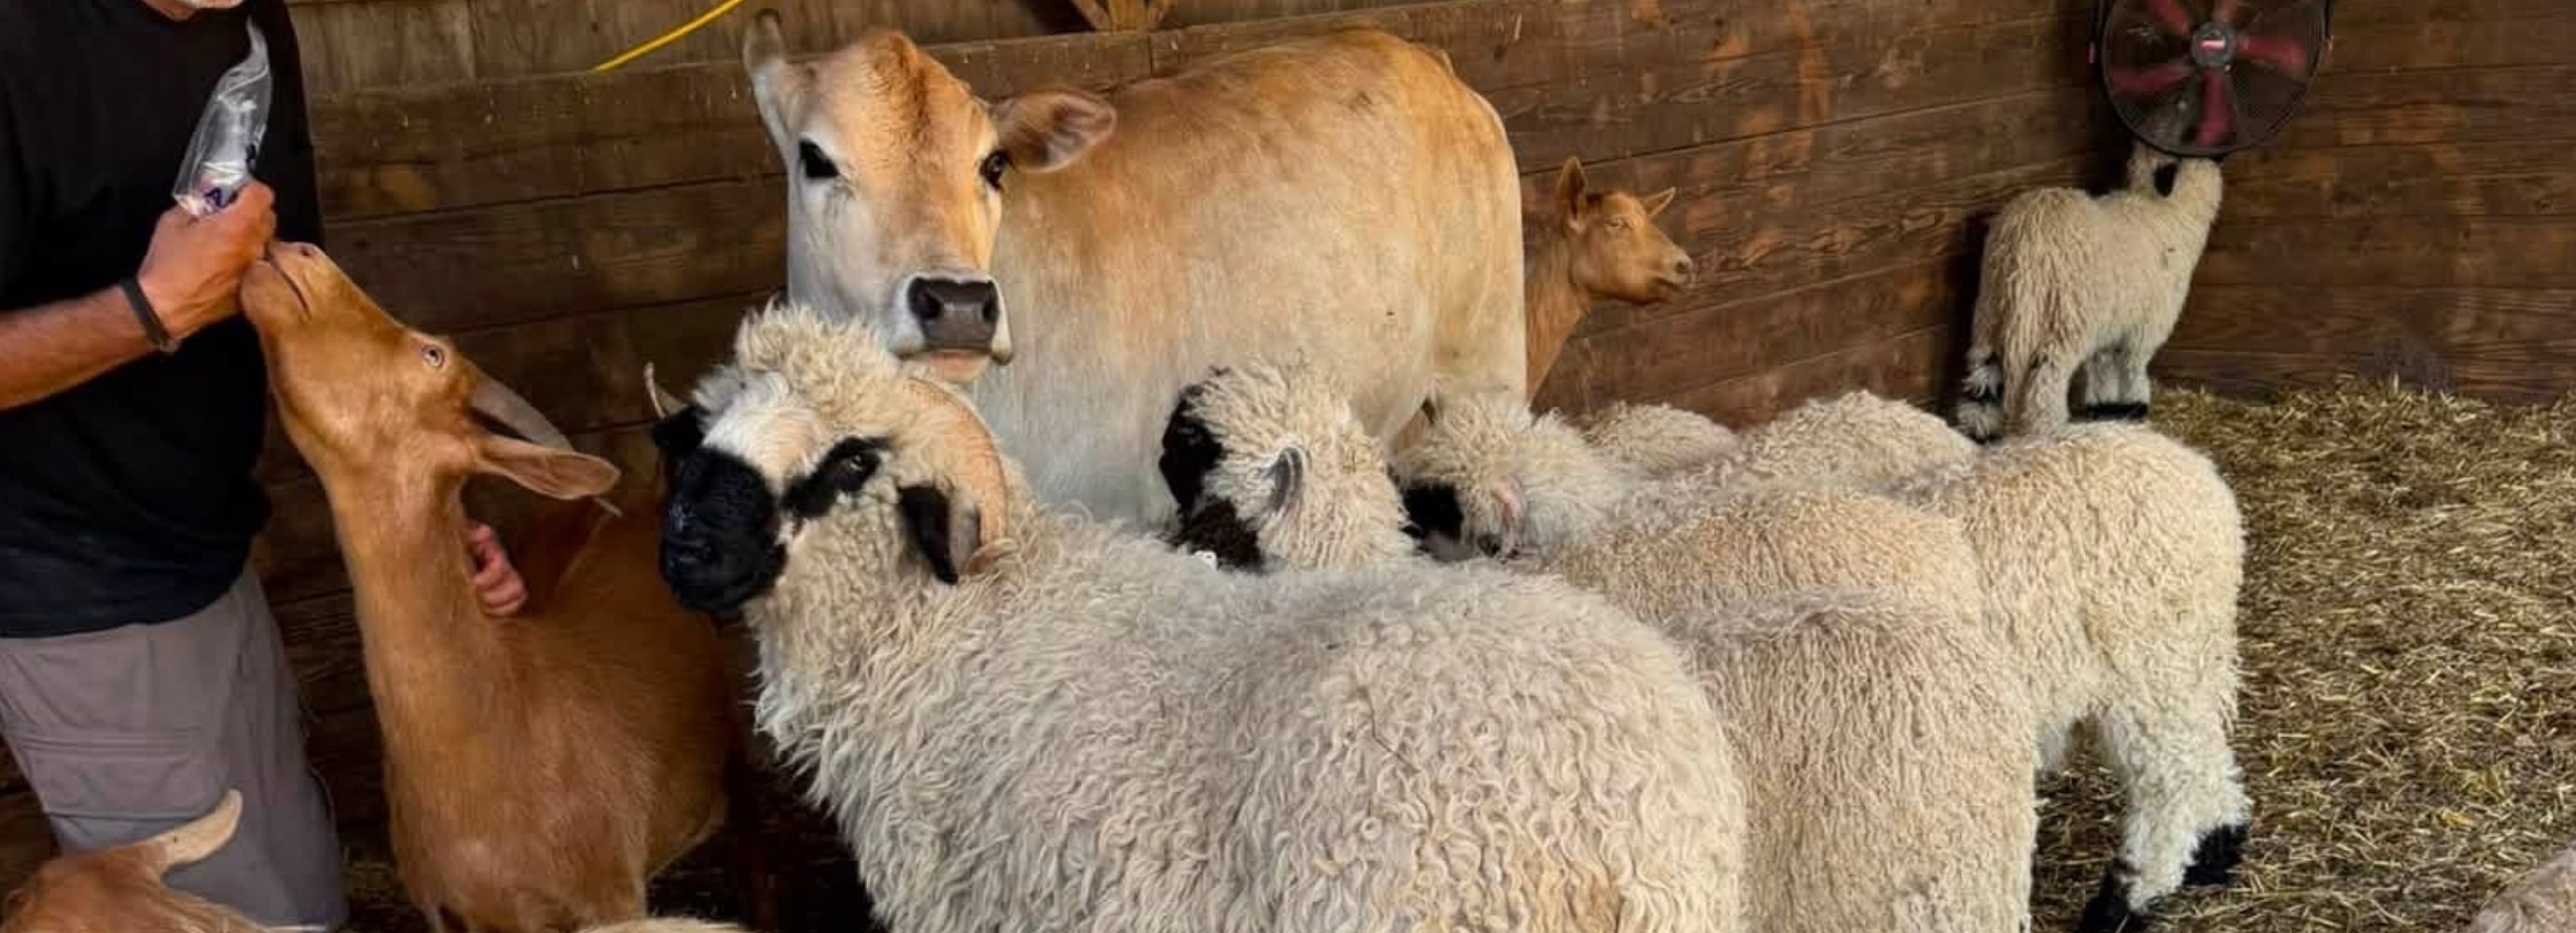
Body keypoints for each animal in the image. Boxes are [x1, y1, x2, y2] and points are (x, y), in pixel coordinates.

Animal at [1889, 422, 2250, 932]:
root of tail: (2201, 477)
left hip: (2148, 667)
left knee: (2171, 781)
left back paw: (2125, 900)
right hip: (2184, 665)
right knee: (2206, 757)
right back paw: (2217, 848)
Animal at [1955, 144, 2224, 441]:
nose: (2221, 155)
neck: (2169, 212)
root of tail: (2023, 241)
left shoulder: (2109, 322)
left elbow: (2102, 365)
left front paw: (2105, 406)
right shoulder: (2147, 324)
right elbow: (2133, 364)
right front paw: (2137, 403)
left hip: (1990, 311)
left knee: (1982, 378)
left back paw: (1979, 431)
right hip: (2061, 320)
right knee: (2045, 386)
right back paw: (2047, 431)